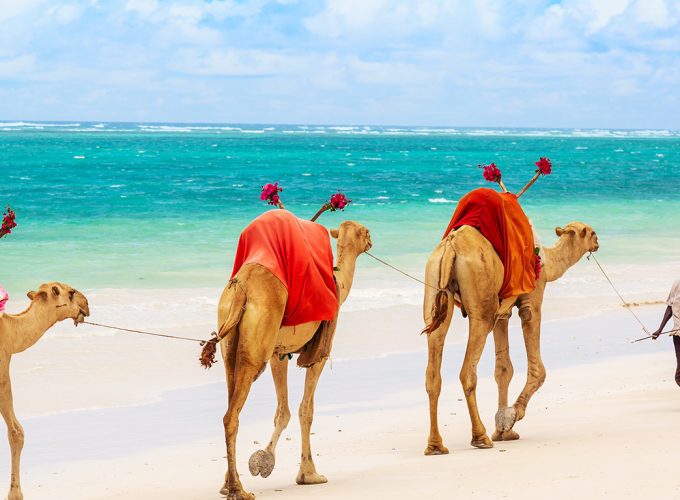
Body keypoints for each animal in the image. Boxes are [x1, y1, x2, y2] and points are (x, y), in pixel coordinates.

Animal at [0, 282, 89, 500]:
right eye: (71, 293)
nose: (87, 305)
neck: (9, 330)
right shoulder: (2, 363)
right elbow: (16, 432)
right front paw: (15, 494)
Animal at [202, 220, 372, 500]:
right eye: (365, 231)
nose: (371, 241)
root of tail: (242, 289)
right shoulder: (317, 354)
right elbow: (306, 410)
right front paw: (308, 474)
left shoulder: (278, 354)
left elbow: (283, 411)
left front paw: (263, 461)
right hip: (255, 346)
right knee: (231, 415)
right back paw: (239, 490)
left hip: (230, 340)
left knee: (229, 405)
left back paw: (229, 483)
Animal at [422, 223, 596, 454]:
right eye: (592, 233)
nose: (597, 243)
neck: (547, 262)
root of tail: (451, 245)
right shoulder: (532, 298)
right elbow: (538, 369)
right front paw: (512, 416)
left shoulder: (502, 313)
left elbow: (503, 369)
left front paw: (503, 430)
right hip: (481, 305)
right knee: (468, 371)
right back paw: (480, 437)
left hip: (434, 288)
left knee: (433, 370)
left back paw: (436, 446)